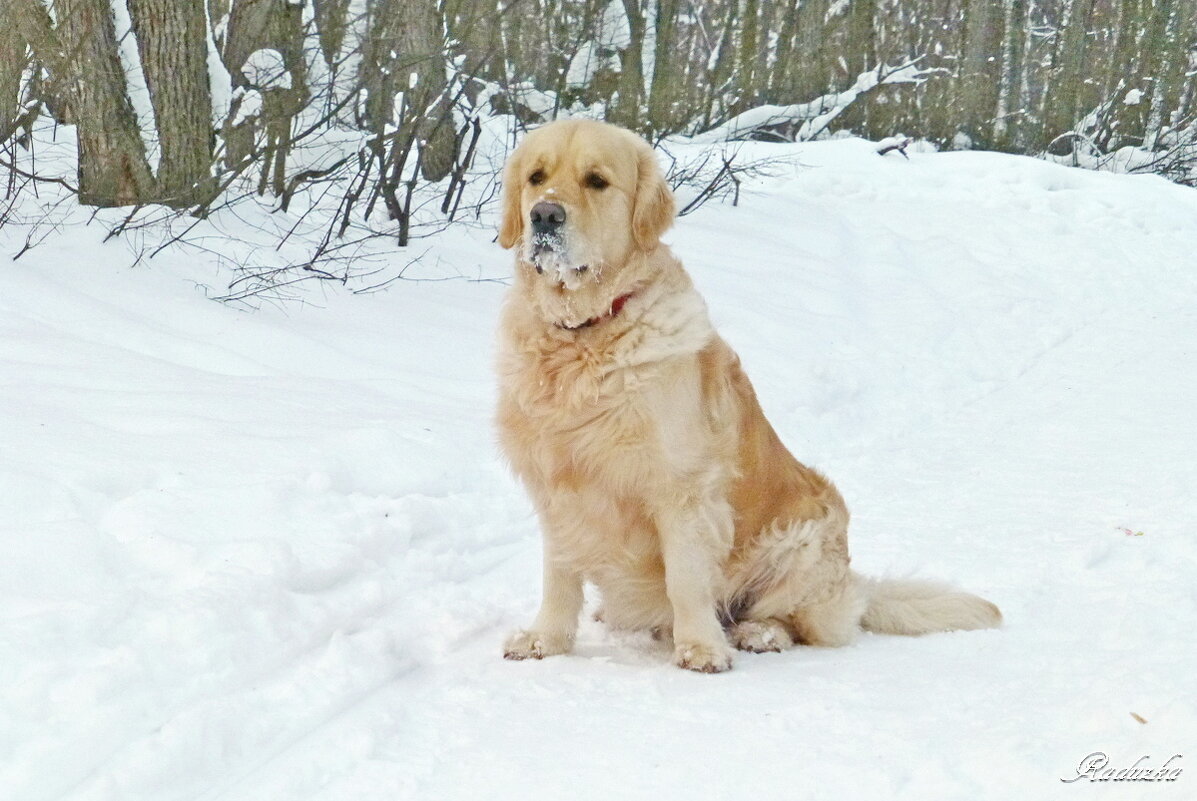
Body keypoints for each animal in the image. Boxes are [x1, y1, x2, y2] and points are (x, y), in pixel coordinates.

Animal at [490, 117, 995, 670]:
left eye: (596, 181)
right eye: (537, 178)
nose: (544, 216)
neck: (584, 333)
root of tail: (853, 583)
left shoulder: (684, 488)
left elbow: (685, 580)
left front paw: (700, 648)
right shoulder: (558, 486)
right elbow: (559, 576)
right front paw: (545, 640)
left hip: (803, 540)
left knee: (796, 619)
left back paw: (759, 632)